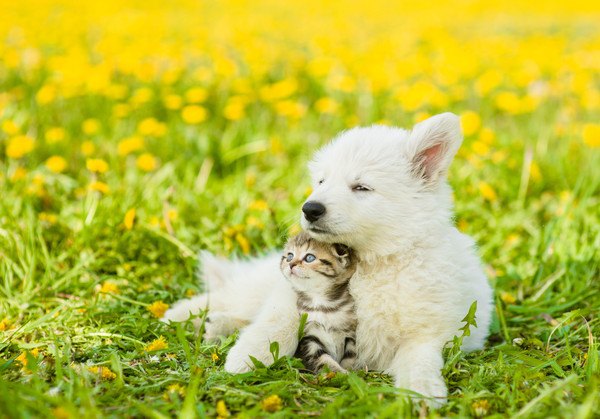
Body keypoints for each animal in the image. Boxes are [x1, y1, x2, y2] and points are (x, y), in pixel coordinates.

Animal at [280, 233, 358, 374]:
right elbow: (322, 360)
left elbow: (351, 356)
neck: (321, 303)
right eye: (289, 257)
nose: (291, 264)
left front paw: (351, 372)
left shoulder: (351, 333)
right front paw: (339, 372)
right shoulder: (309, 337)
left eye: (309, 258)